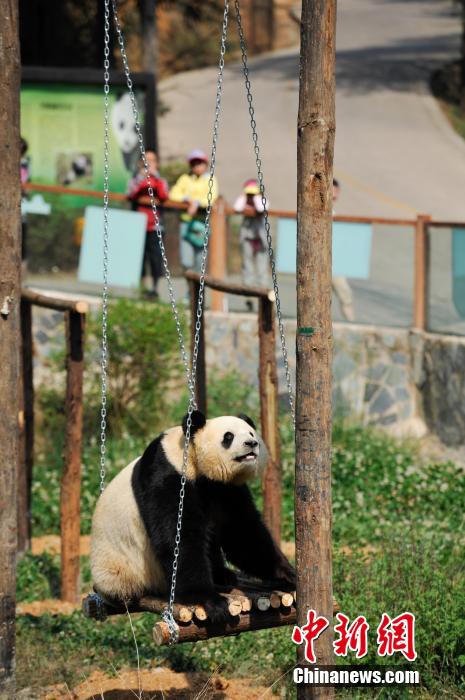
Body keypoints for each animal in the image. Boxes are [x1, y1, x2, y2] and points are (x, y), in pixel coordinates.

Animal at [90, 410, 294, 624]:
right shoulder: (167, 476)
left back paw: (223, 575)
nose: (251, 443)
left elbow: (242, 532)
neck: (194, 461)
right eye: (228, 437)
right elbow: (179, 539)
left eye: (251, 433)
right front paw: (211, 601)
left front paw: (287, 574)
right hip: (121, 570)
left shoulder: (225, 489)